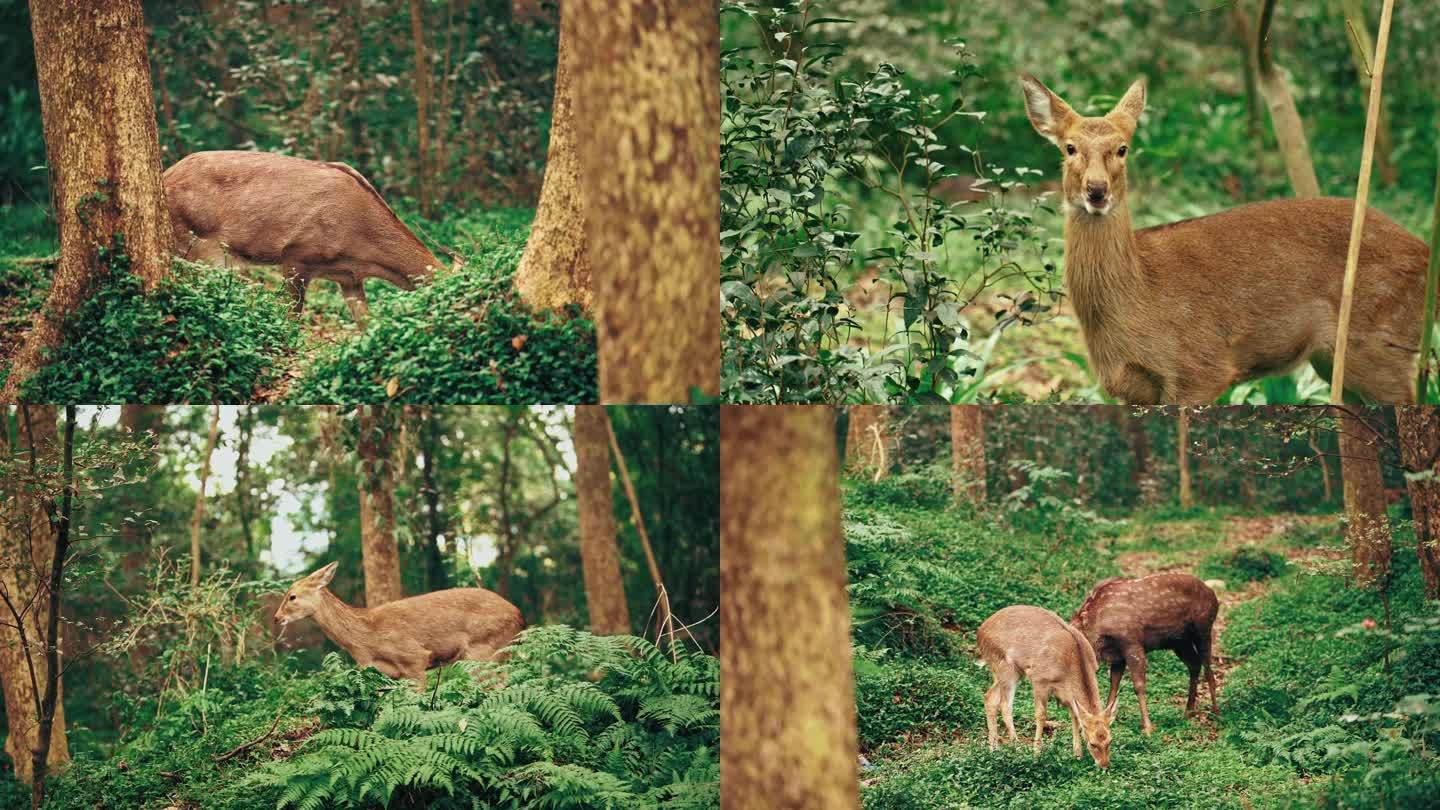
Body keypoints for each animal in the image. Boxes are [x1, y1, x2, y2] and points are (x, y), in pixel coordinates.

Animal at [163, 149, 443, 325]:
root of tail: (165, 174)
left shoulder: (350, 278)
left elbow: (366, 324)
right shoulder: (297, 255)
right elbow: (292, 318)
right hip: (198, 245)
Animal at [270, 562, 524, 686]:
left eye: (292, 596)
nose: (276, 617)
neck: (366, 639)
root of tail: (520, 617)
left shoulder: (415, 658)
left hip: (483, 650)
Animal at [973, 602, 1117, 766]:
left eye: (1110, 741)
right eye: (1093, 743)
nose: (1104, 765)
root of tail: (980, 633)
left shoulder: (1067, 694)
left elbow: (1074, 715)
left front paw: (1077, 754)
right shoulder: (1039, 680)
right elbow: (1041, 715)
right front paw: (1036, 754)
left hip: (1008, 672)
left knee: (989, 698)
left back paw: (994, 750)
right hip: (1006, 668)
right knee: (1005, 705)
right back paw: (1016, 748)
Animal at [1019, 74, 1434, 403]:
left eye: (1122, 148)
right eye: (1070, 147)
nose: (1097, 190)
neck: (1139, 295)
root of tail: (1427, 252)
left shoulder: (1201, 366)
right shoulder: (1134, 388)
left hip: (1379, 341)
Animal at [1071, 567, 1215, 732]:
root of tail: (1213, 595)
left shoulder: (1132, 642)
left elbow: (1139, 685)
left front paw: (1148, 727)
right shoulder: (1118, 655)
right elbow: (1113, 684)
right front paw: (1107, 720)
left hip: (1203, 627)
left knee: (1208, 670)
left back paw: (1216, 713)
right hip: (1179, 641)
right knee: (1194, 664)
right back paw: (1188, 712)